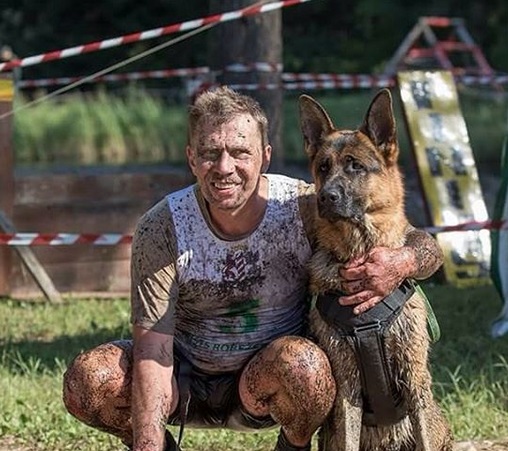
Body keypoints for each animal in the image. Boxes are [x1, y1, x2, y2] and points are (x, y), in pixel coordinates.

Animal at [298, 89, 452, 451]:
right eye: (323, 167)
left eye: (355, 166)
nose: (325, 197)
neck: (360, 251)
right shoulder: (347, 389)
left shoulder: (415, 381)